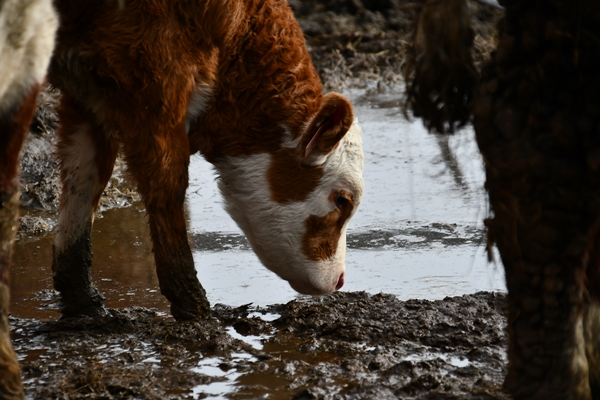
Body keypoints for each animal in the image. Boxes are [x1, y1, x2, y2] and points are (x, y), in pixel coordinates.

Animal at [49, 0, 364, 320]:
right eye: (342, 200)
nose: (340, 280)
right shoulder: (157, 84)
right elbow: (167, 185)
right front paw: (193, 304)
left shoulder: (87, 95)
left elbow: (84, 179)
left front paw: (81, 298)